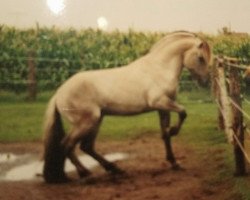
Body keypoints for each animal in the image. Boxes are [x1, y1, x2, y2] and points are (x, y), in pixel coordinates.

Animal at [43, 30, 211, 183]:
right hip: (87, 122)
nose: (205, 82)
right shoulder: (160, 102)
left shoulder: (163, 108)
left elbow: (165, 135)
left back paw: (115, 169)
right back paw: (85, 173)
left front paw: (174, 163)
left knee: (86, 147)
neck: (159, 68)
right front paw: (174, 131)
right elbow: (183, 112)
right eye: (200, 58)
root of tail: (59, 93)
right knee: (67, 144)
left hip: (97, 120)